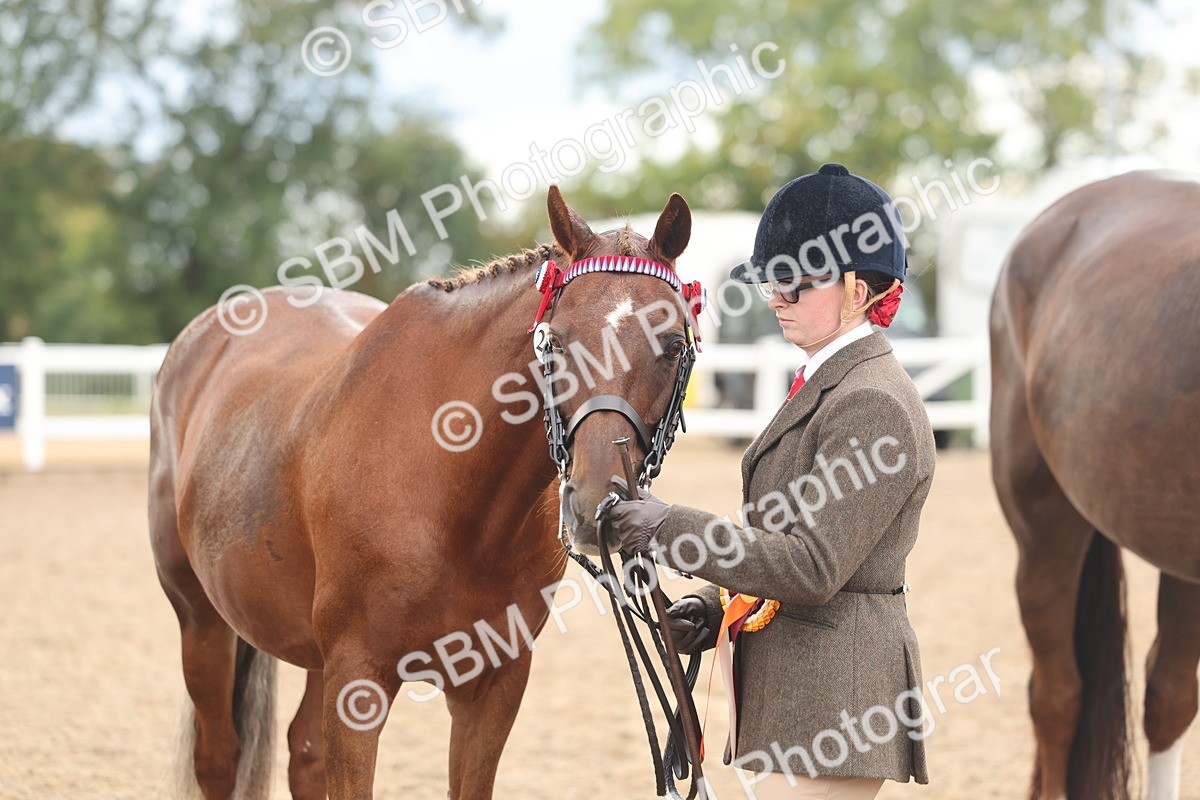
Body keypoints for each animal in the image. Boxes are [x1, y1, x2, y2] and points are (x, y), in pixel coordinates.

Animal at [149, 185, 697, 799]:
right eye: (553, 344)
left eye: (672, 344)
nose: (596, 501)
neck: (453, 496)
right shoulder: (356, 685)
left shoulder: (493, 688)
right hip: (200, 621)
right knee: (218, 755)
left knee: (303, 755)